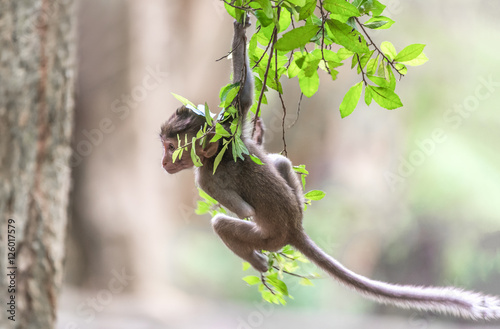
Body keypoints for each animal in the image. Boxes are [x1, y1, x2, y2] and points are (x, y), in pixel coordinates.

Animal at [160, 17, 500, 318]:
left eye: (170, 148)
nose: (163, 162)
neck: (218, 150)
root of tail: (294, 230)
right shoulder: (229, 126)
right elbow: (243, 95)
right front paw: (241, 28)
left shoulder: (205, 177)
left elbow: (243, 211)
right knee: (281, 162)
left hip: (269, 237)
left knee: (223, 223)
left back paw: (257, 262)